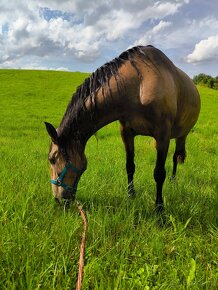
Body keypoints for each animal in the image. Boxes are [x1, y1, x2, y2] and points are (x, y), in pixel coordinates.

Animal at [44, 46, 201, 213]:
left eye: (52, 159)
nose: (58, 200)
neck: (139, 84)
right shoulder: (126, 133)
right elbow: (130, 166)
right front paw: (131, 194)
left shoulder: (163, 135)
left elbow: (159, 173)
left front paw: (159, 209)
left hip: (181, 135)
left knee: (176, 156)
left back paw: (173, 180)